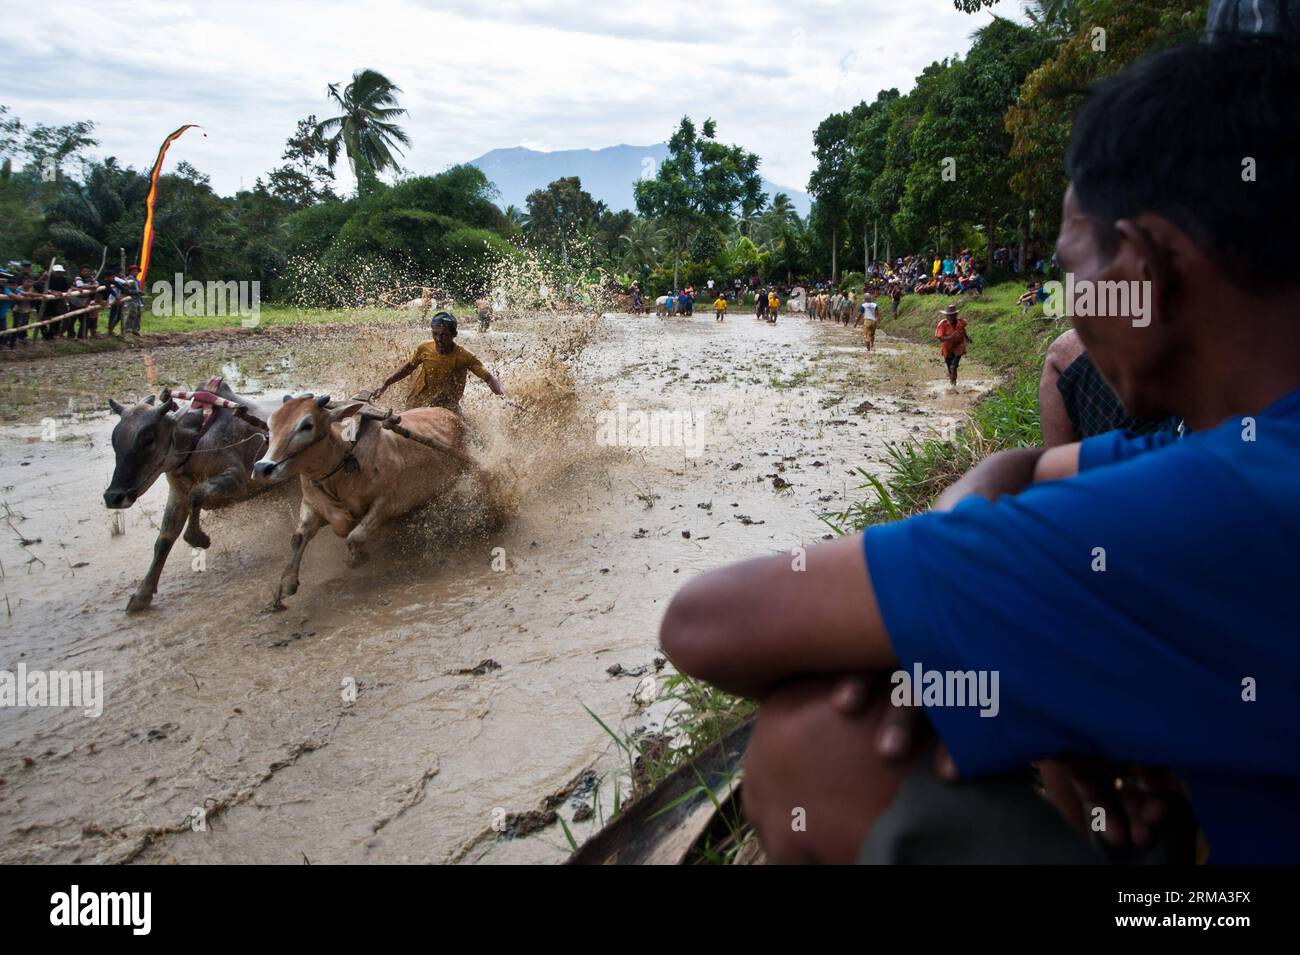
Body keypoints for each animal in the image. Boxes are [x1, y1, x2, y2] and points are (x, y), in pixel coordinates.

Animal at [107, 382, 276, 613]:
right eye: (115, 440)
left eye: (148, 439)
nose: (113, 497)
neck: (195, 441)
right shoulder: (177, 495)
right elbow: (164, 540)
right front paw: (142, 594)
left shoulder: (237, 480)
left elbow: (198, 495)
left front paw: (198, 538)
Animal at [250, 394, 470, 605]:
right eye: (270, 424)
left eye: (307, 425)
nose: (262, 468)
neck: (343, 459)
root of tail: (450, 414)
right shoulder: (311, 505)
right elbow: (297, 539)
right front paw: (286, 585)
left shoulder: (386, 504)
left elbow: (355, 536)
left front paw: (358, 558)